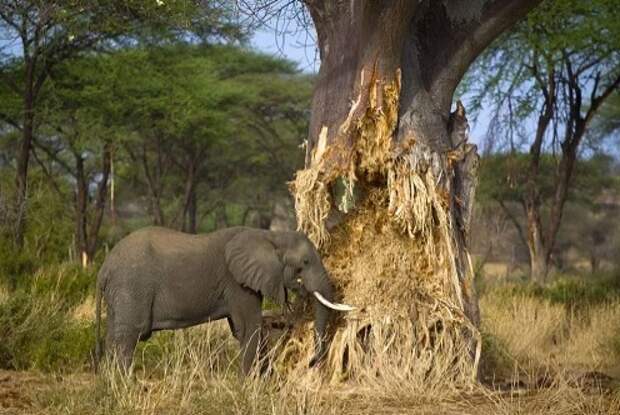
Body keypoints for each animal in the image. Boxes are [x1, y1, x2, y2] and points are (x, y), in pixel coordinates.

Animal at [93, 226, 354, 376]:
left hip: (120, 295)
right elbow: (249, 328)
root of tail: (103, 269)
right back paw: (125, 386)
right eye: (305, 263)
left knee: (113, 336)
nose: (311, 363)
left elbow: (244, 330)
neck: (269, 235)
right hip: (131, 287)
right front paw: (248, 386)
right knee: (128, 338)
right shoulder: (237, 282)